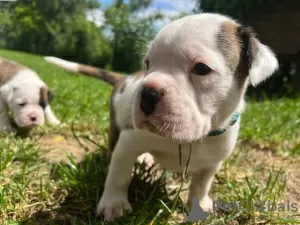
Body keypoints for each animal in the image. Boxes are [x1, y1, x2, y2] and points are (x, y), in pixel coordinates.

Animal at [45, 12, 278, 221]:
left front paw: (200, 205)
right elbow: (119, 175)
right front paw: (113, 204)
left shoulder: (214, 160)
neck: (196, 138)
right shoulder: (128, 141)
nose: (146, 93)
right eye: (148, 64)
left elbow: (201, 184)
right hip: (115, 128)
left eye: (201, 68)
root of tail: (123, 79)